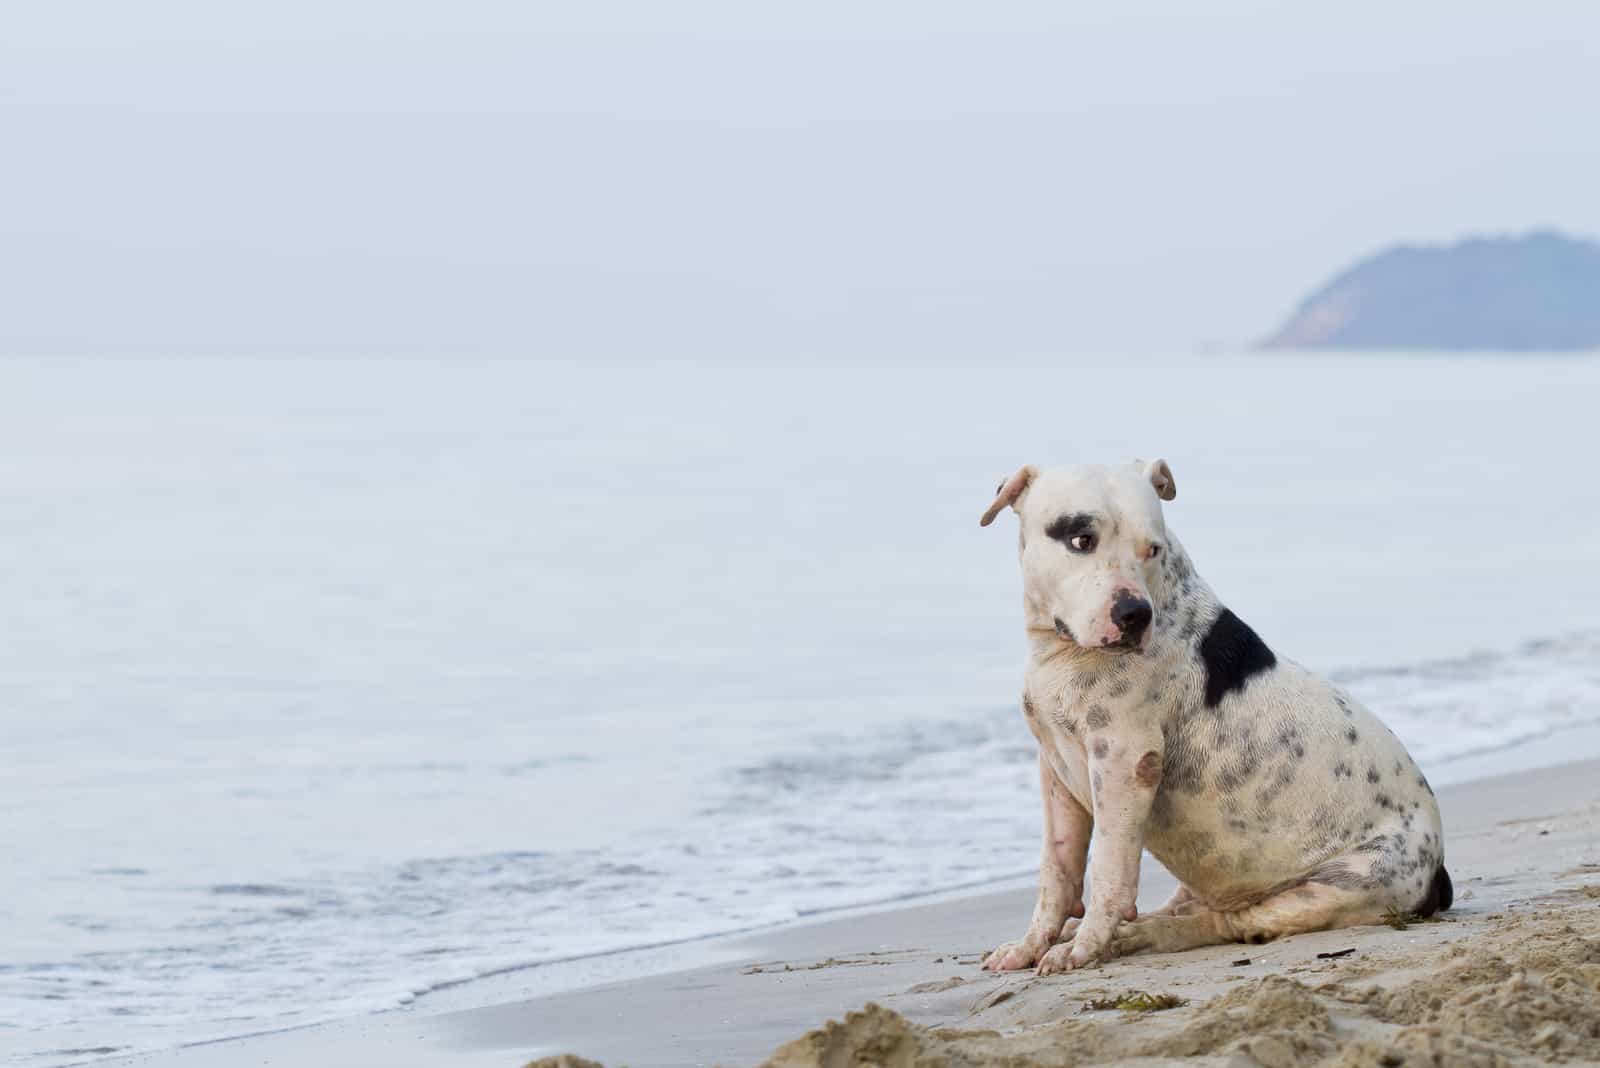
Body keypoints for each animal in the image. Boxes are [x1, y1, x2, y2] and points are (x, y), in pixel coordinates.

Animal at [972, 460, 1452, 978]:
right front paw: (1033, 943)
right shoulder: (1055, 769)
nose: (1135, 614)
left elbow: (1108, 869)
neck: (1060, 650)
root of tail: (1439, 872)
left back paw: (1144, 934)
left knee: (1230, 923)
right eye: (1081, 539)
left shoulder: (1124, 762)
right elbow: (1056, 871)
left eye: (1152, 547)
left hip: (1346, 882)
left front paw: (1085, 947)